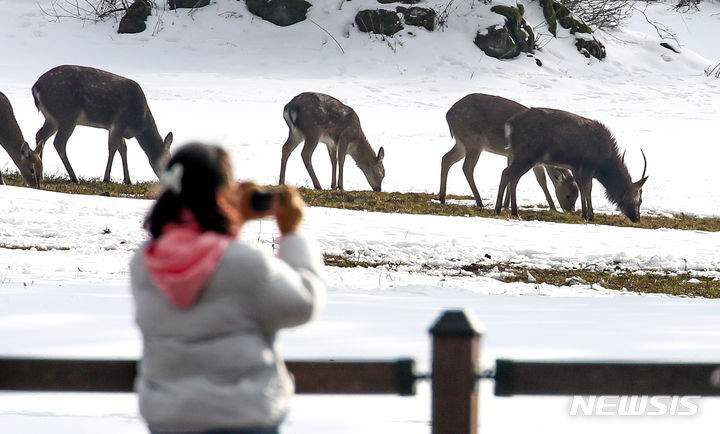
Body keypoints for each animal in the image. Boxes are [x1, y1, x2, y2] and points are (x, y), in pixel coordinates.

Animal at [31, 65, 172, 184]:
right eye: (167, 163)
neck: (139, 124)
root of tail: (36, 87)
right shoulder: (118, 122)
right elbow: (113, 148)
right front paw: (106, 178)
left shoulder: (118, 129)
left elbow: (123, 149)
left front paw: (127, 180)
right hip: (67, 114)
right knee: (59, 142)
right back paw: (74, 177)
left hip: (52, 118)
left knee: (40, 135)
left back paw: (41, 174)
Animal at [438, 93, 580, 212]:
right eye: (568, 195)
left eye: (576, 195)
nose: (570, 210)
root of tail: (448, 115)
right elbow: (539, 180)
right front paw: (553, 208)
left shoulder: (527, 160)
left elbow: (541, 180)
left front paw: (506, 205)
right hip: (474, 141)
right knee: (467, 167)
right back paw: (479, 202)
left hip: (461, 142)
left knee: (446, 158)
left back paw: (442, 198)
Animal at [496, 108, 648, 222]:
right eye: (639, 200)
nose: (637, 219)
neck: (604, 164)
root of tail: (510, 124)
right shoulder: (587, 166)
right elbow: (588, 189)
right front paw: (591, 216)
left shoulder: (576, 168)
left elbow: (581, 188)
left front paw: (584, 214)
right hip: (526, 155)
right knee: (509, 174)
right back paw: (513, 212)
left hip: (519, 155)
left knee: (508, 174)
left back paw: (500, 210)